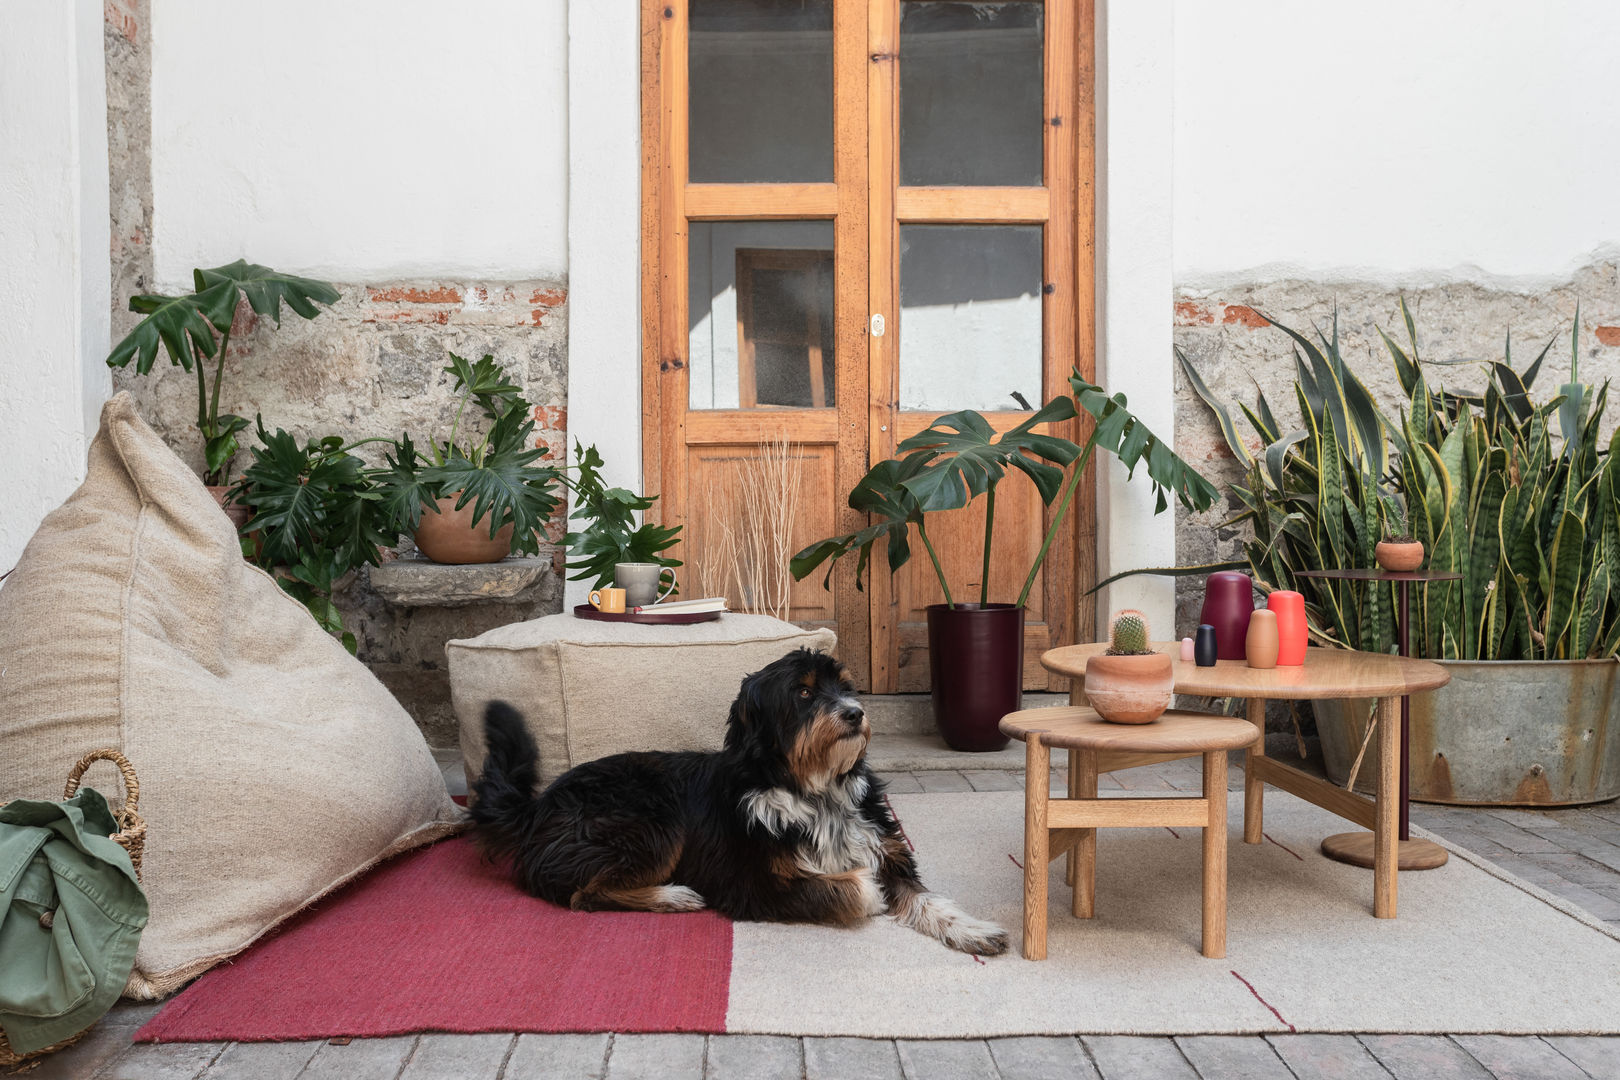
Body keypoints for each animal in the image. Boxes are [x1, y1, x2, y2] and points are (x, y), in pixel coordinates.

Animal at [463, 647, 1004, 958]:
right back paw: (672, 896)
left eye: (846, 686)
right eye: (803, 693)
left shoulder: (887, 851)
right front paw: (866, 891)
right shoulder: (750, 883)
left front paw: (974, 929)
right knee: (584, 894)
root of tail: (539, 805)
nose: (856, 713)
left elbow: (927, 898)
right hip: (652, 821)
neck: (813, 788)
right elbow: (853, 888)